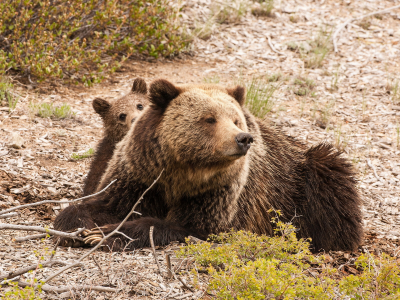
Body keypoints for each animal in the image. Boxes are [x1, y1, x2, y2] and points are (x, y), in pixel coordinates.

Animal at [54, 79, 364, 251]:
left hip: (300, 177)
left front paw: (104, 234)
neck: (183, 170)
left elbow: (188, 226)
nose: (243, 139)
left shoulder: (219, 194)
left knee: (331, 183)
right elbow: (103, 204)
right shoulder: (141, 174)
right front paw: (78, 229)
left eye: (236, 119)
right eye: (209, 119)